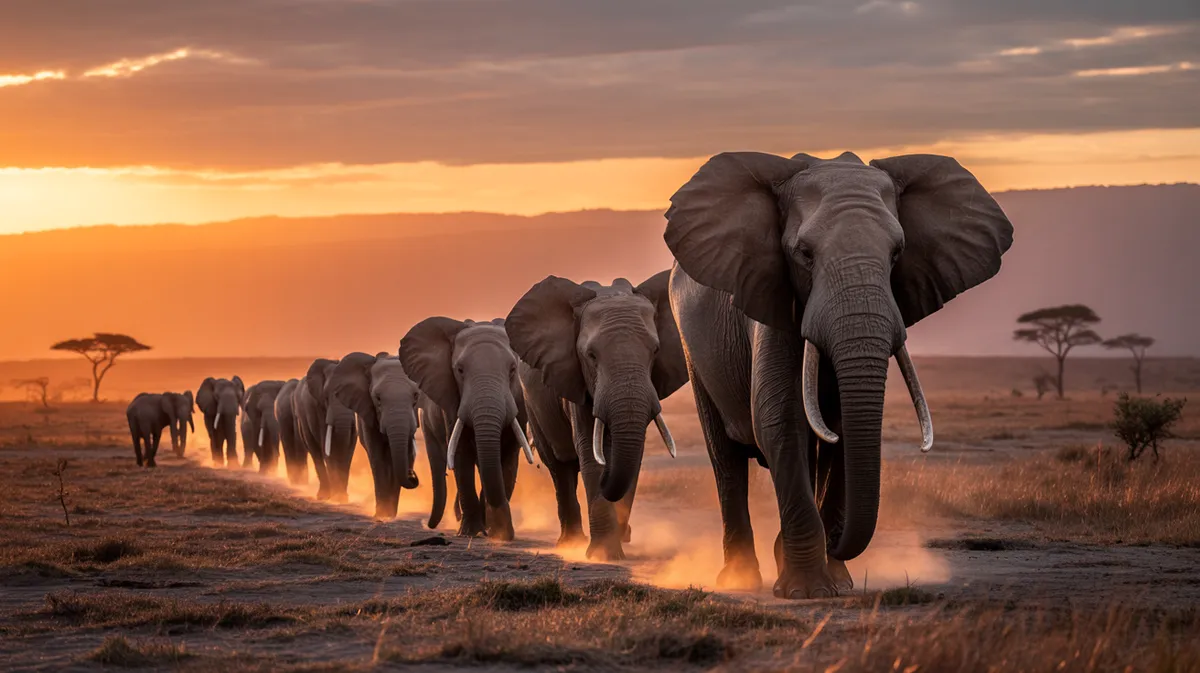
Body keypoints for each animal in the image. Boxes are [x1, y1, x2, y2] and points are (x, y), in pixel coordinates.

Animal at [292, 358, 359, 501]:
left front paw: (342, 498)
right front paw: (337, 497)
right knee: (315, 452)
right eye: (326, 397)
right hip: (302, 417)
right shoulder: (318, 408)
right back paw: (323, 495)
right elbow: (327, 449)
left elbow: (349, 450)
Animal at [329, 352, 422, 519]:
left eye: (416, 396)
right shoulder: (368, 413)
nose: (412, 474)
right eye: (377, 398)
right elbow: (377, 457)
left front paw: (389, 515)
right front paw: (382, 514)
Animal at [400, 318, 535, 541]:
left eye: (513, 369)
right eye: (460, 370)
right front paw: (471, 533)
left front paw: (495, 531)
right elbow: (462, 456)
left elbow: (507, 456)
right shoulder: (451, 402)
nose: (507, 532)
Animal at [505, 272, 689, 560]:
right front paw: (604, 555)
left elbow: (633, 457)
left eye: (656, 351)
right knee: (560, 468)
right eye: (591, 356)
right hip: (533, 406)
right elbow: (590, 454)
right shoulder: (574, 379)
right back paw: (570, 543)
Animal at [665, 151, 1012, 599]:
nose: (838, 545)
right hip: (693, 349)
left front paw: (837, 582)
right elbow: (781, 422)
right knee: (725, 459)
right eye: (805, 254)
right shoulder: (772, 299)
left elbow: (845, 432)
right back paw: (740, 579)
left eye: (897, 253)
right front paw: (807, 591)